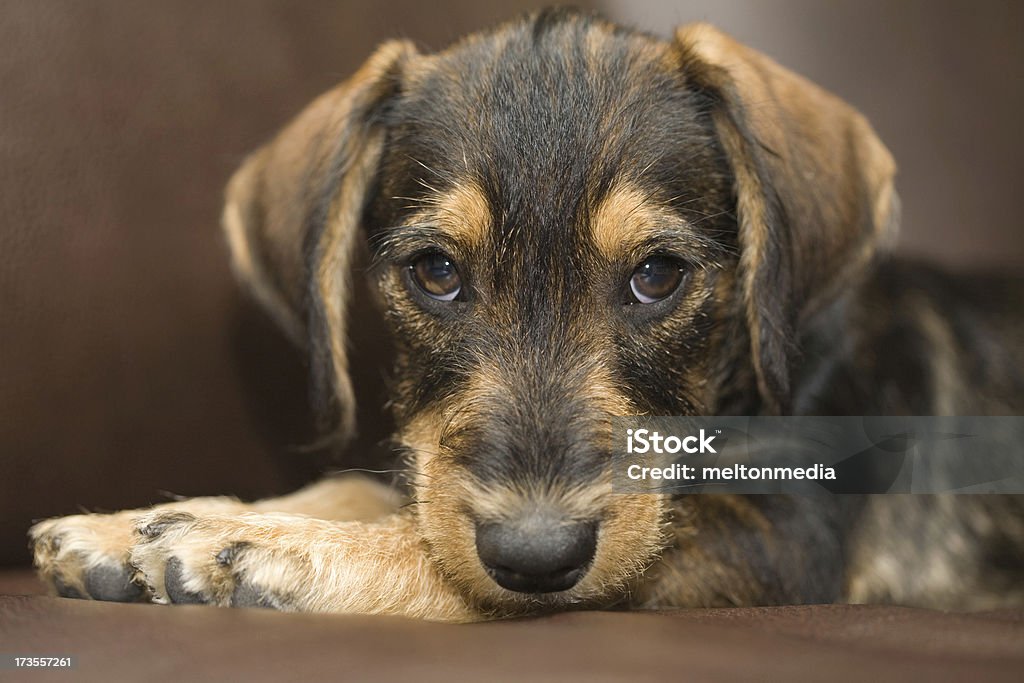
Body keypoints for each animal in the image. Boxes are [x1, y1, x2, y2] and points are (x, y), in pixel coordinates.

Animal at [28, 9, 1019, 618]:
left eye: (658, 275)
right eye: (435, 272)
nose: (538, 554)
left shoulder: (777, 538)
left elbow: (427, 554)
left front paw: (256, 544)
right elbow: (388, 492)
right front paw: (137, 528)